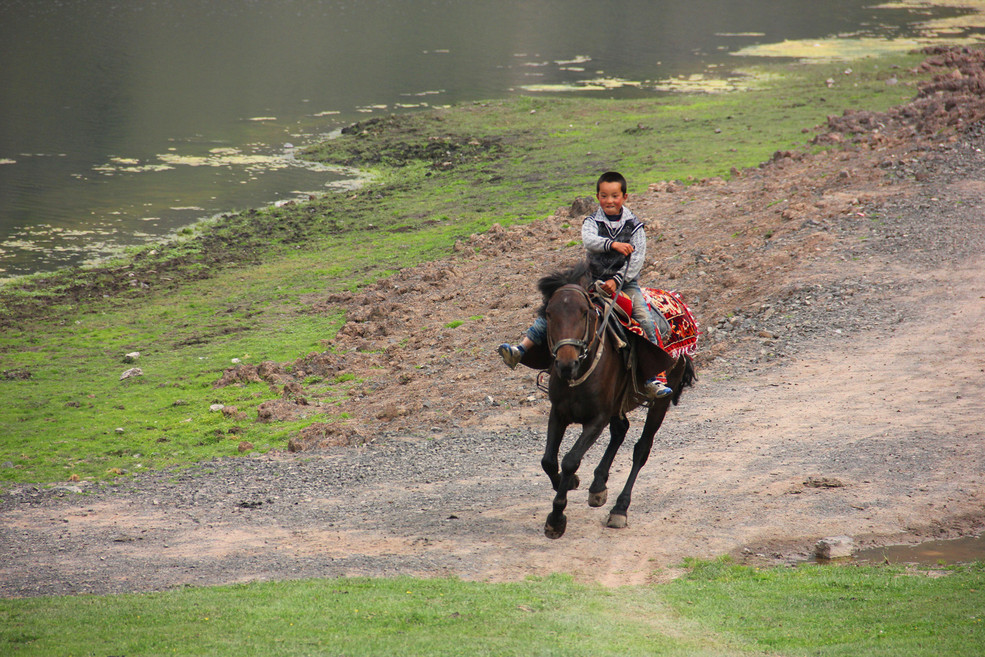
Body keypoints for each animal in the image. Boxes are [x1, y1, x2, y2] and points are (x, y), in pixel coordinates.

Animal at [520, 262, 696, 540]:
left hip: (660, 402)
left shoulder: (597, 419)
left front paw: (556, 518)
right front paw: (570, 483)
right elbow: (548, 460)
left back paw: (619, 509)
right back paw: (598, 486)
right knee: (621, 430)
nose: (566, 364)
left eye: (585, 313)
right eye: (548, 313)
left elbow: (570, 460)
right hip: (618, 404)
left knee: (641, 449)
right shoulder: (558, 413)